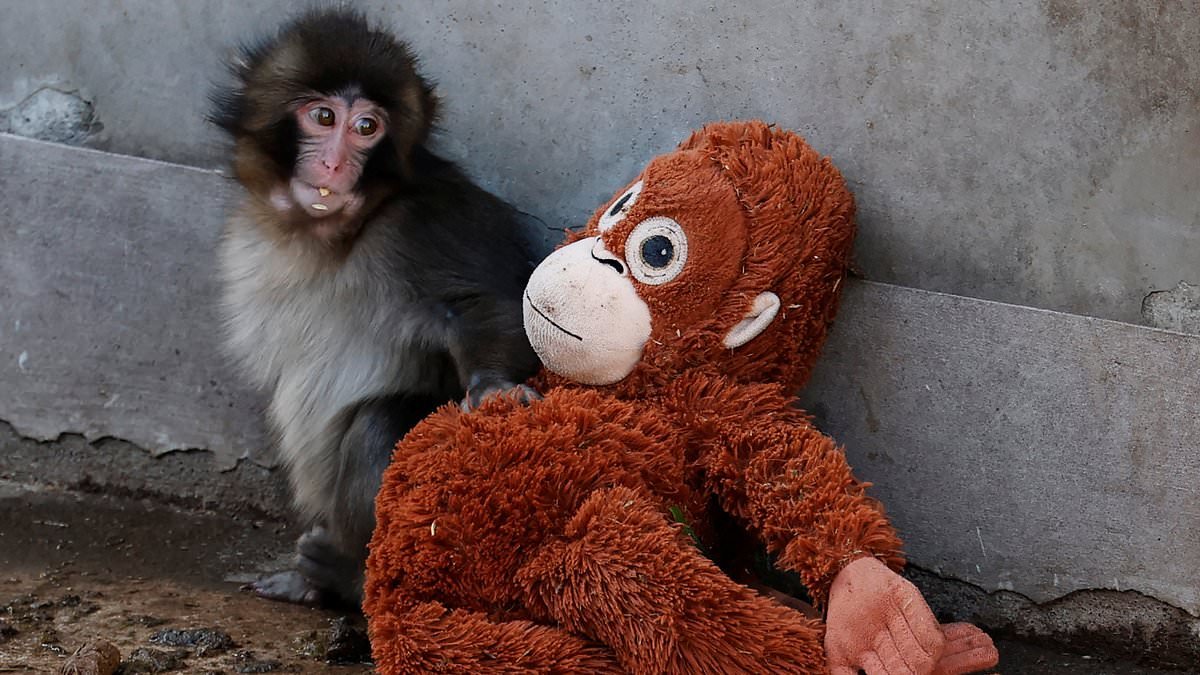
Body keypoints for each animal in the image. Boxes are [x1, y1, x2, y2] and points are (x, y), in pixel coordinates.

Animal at [209, 9, 542, 607]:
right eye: (323, 117)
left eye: (367, 128)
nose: (335, 162)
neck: (333, 234)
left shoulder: (427, 222)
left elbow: (486, 305)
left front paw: (494, 387)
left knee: (378, 426)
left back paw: (347, 577)